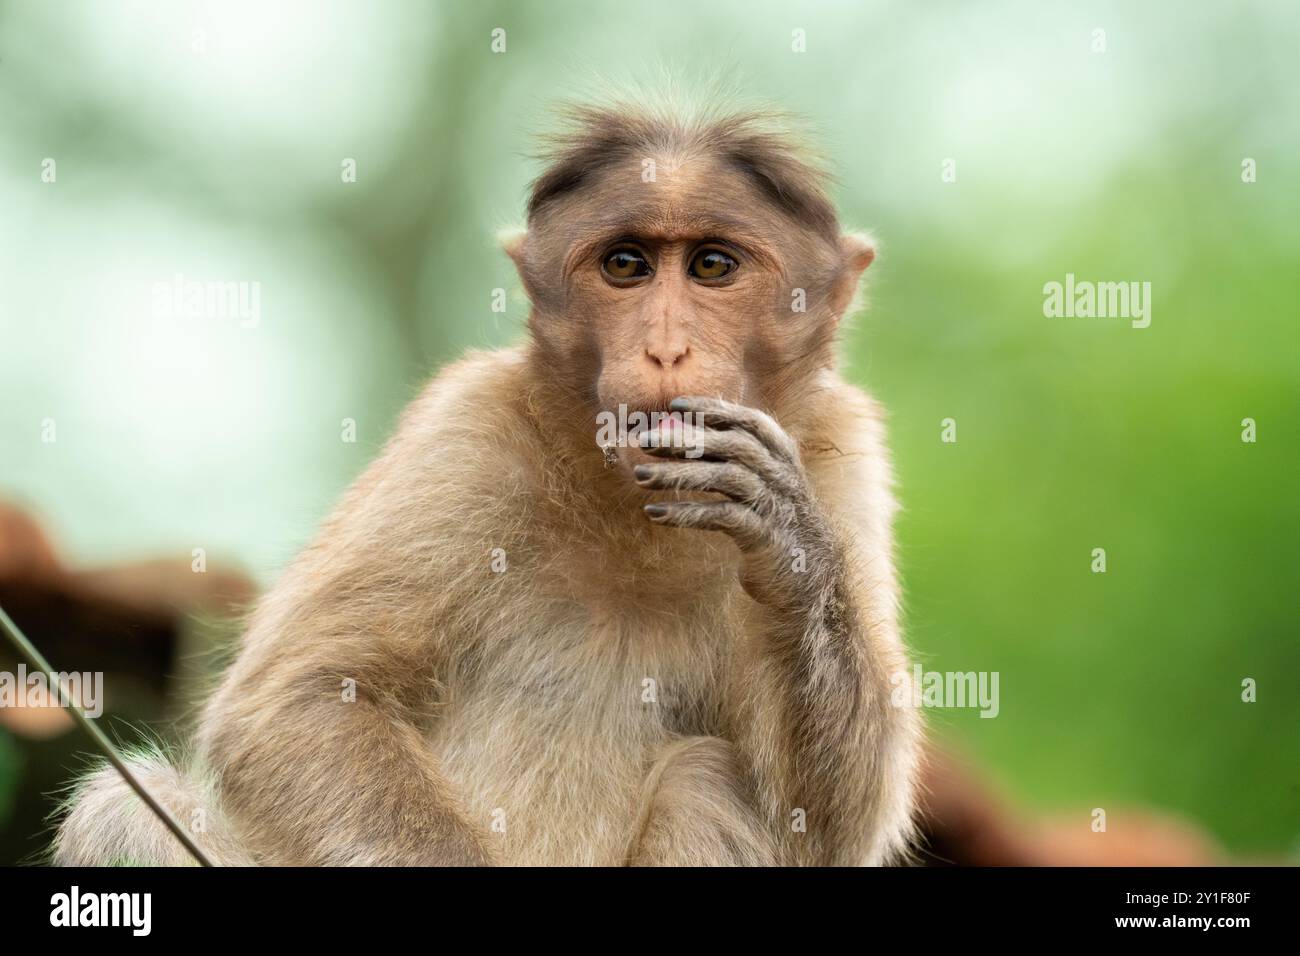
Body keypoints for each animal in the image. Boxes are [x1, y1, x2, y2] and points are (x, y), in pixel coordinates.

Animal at [53, 102, 925, 868]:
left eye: (713, 266)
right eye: (626, 265)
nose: (666, 349)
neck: (630, 509)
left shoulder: (842, 454)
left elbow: (830, 829)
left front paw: (787, 543)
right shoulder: (464, 430)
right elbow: (297, 705)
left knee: (711, 780)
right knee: (123, 811)